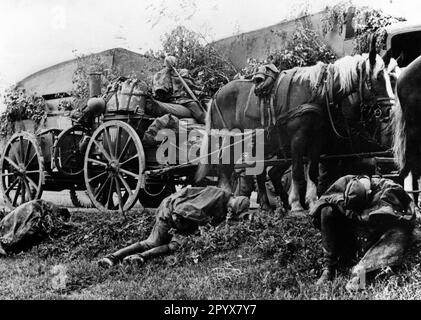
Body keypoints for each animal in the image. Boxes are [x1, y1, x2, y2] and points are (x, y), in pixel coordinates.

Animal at [197, 38, 394, 212]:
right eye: (378, 77)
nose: (389, 109)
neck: (318, 90)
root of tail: (216, 95)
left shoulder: (316, 138)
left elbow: (312, 171)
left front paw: (312, 202)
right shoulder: (298, 137)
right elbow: (298, 172)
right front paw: (297, 204)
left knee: (260, 171)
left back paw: (266, 205)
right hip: (229, 139)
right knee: (225, 168)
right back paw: (228, 198)